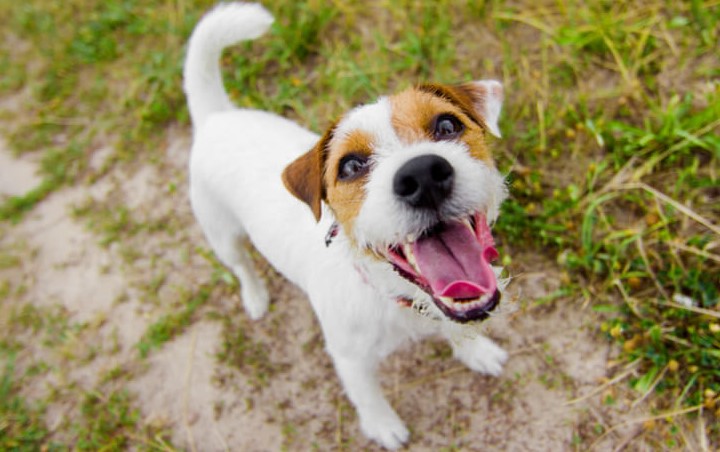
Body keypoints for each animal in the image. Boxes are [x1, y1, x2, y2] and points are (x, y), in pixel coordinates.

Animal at [187, 2, 512, 448]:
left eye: (447, 126)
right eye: (351, 166)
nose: (423, 176)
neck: (389, 292)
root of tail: (216, 117)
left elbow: (456, 328)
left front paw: (476, 351)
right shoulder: (349, 359)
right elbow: (367, 395)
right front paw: (383, 424)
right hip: (223, 234)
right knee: (241, 265)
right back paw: (255, 296)